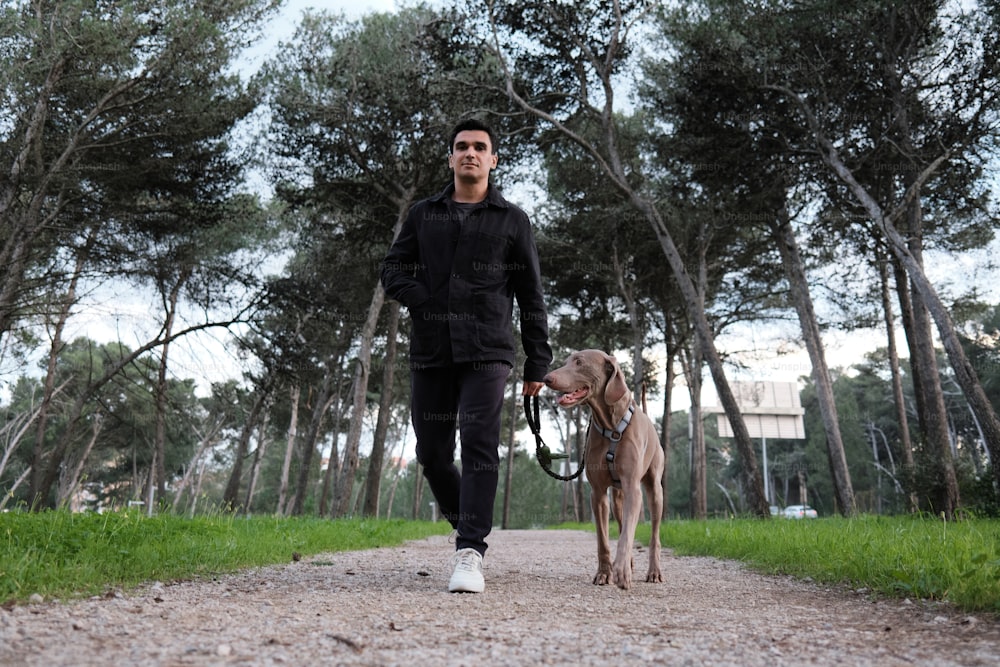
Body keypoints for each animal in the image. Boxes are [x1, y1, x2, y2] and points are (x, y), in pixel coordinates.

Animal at [544, 350, 660, 588]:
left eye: (579, 362)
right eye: (568, 361)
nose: (546, 378)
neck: (611, 424)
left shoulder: (633, 488)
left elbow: (627, 536)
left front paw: (621, 570)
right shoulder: (597, 494)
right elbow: (603, 540)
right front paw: (605, 573)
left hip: (655, 491)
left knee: (653, 534)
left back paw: (653, 571)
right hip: (617, 497)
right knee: (622, 522)